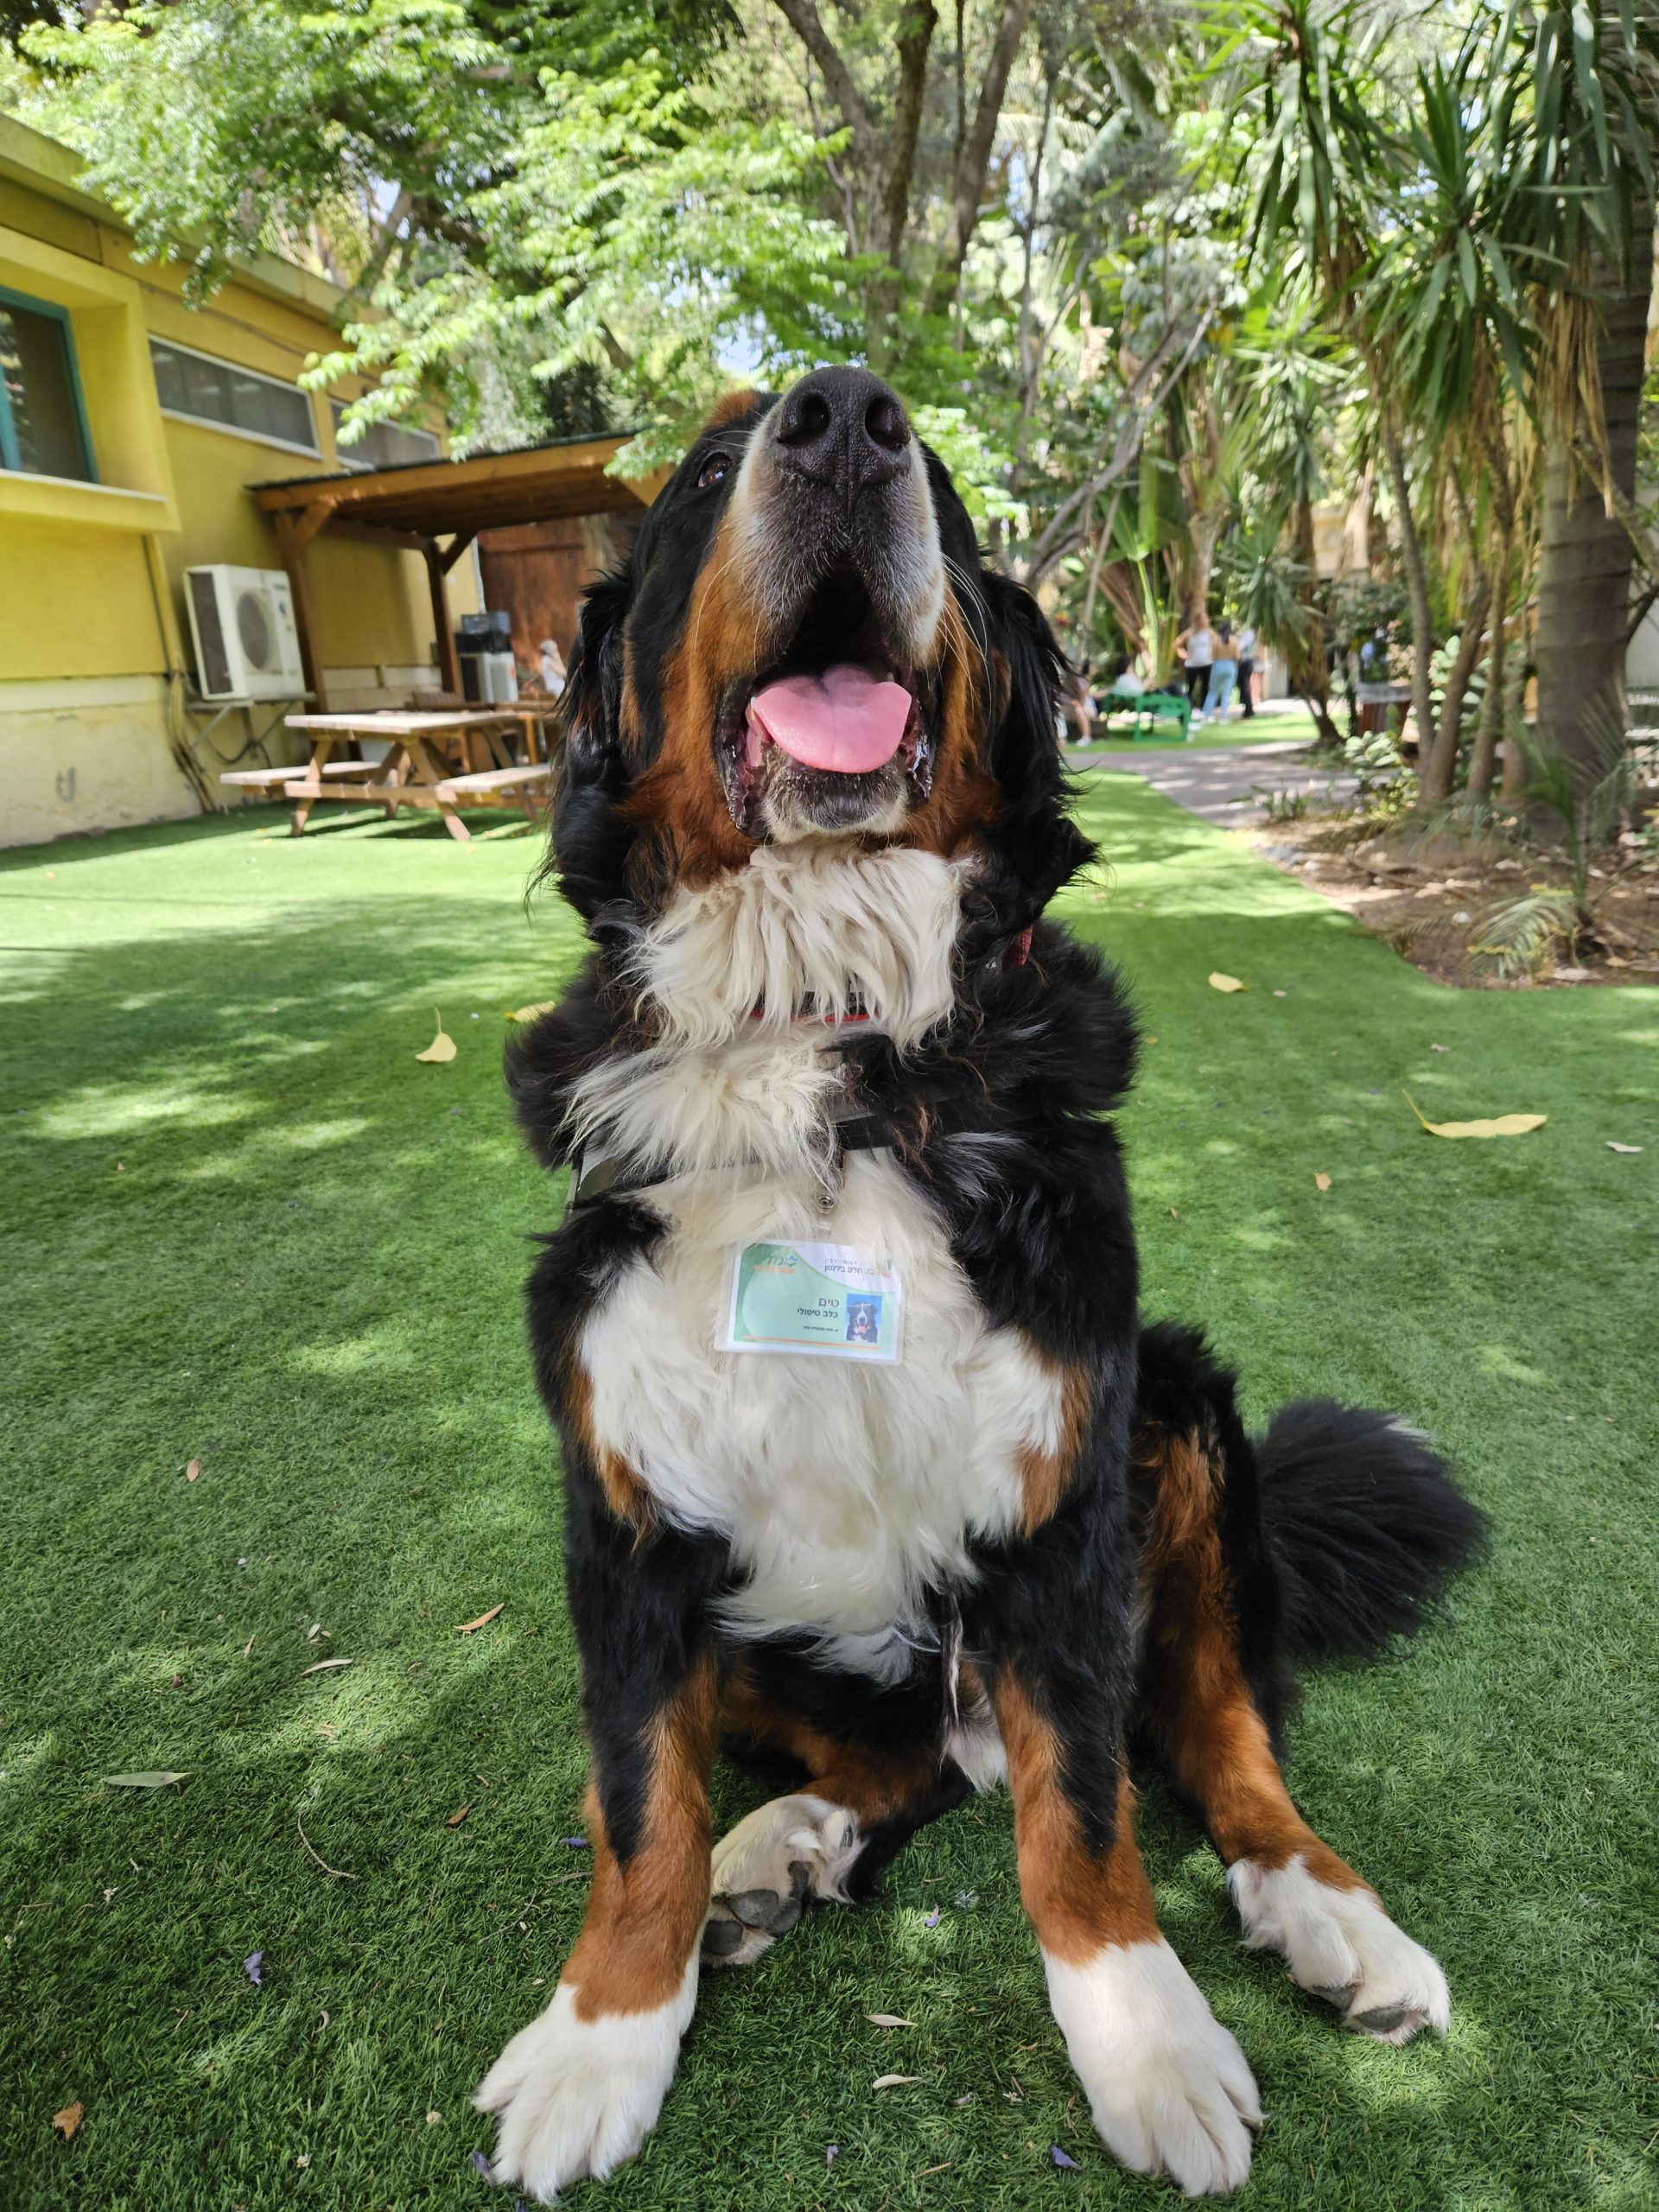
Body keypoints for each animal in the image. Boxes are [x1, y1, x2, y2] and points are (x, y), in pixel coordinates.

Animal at [477, 372, 1478, 2202]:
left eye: (933, 481)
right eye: (709, 473)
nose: (842, 418)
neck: (839, 1054)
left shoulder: (1063, 1496)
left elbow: (1084, 1814)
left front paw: (1147, 2040)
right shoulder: (627, 1519)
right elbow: (635, 1805)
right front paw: (601, 2034)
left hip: (1182, 1418)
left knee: (1213, 1740)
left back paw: (1333, 1917)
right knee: (903, 1762)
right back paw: (781, 1846)